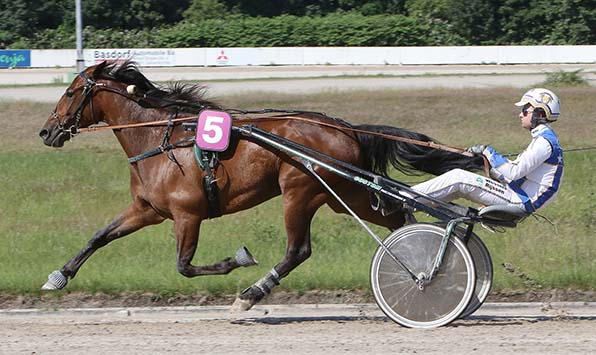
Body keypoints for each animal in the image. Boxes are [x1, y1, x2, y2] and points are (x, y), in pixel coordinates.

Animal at [39, 62, 482, 312]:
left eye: (70, 92)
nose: (46, 131)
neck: (159, 140)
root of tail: (345, 127)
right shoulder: (148, 210)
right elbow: (99, 236)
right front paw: (58, 276)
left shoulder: (187, 215)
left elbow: (184, 266)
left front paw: (238, 259)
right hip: (344, 195)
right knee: (398, 218)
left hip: (301, 190)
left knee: (298, 250)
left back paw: (253, 293)